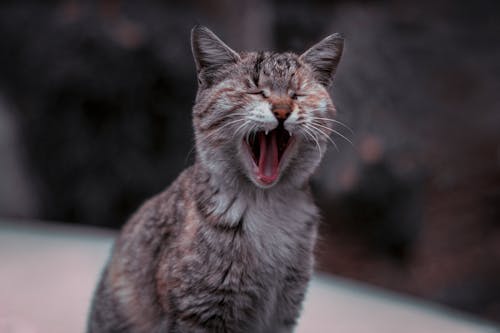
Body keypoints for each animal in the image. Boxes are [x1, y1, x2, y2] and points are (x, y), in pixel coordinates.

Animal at [87, 24, 344, 330]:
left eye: (297, 94)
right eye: (255, 90)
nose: (282, 110)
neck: (266, 205)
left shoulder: (285, 308)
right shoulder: (199, 309)